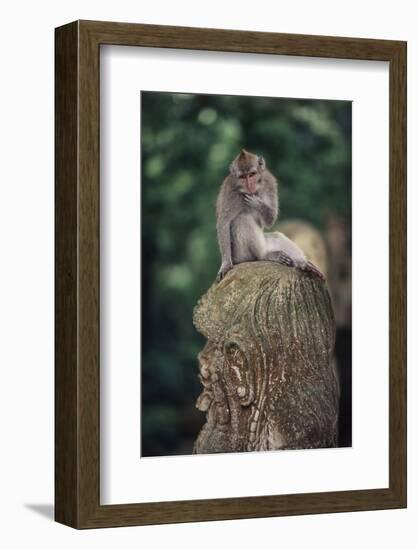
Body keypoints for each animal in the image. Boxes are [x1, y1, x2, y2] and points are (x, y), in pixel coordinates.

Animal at [216, 149, 320, 282]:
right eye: (243, 177)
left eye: (252, 174)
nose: (249, 184)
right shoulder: (230, 190)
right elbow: (224, 223)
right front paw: (225, 264)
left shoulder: (270, 182)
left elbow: (270, 220)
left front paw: (257, 203)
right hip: (241, 255)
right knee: (242, 219)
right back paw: (263, 255)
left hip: (266, 243)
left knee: (277, 236)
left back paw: (302, 263)